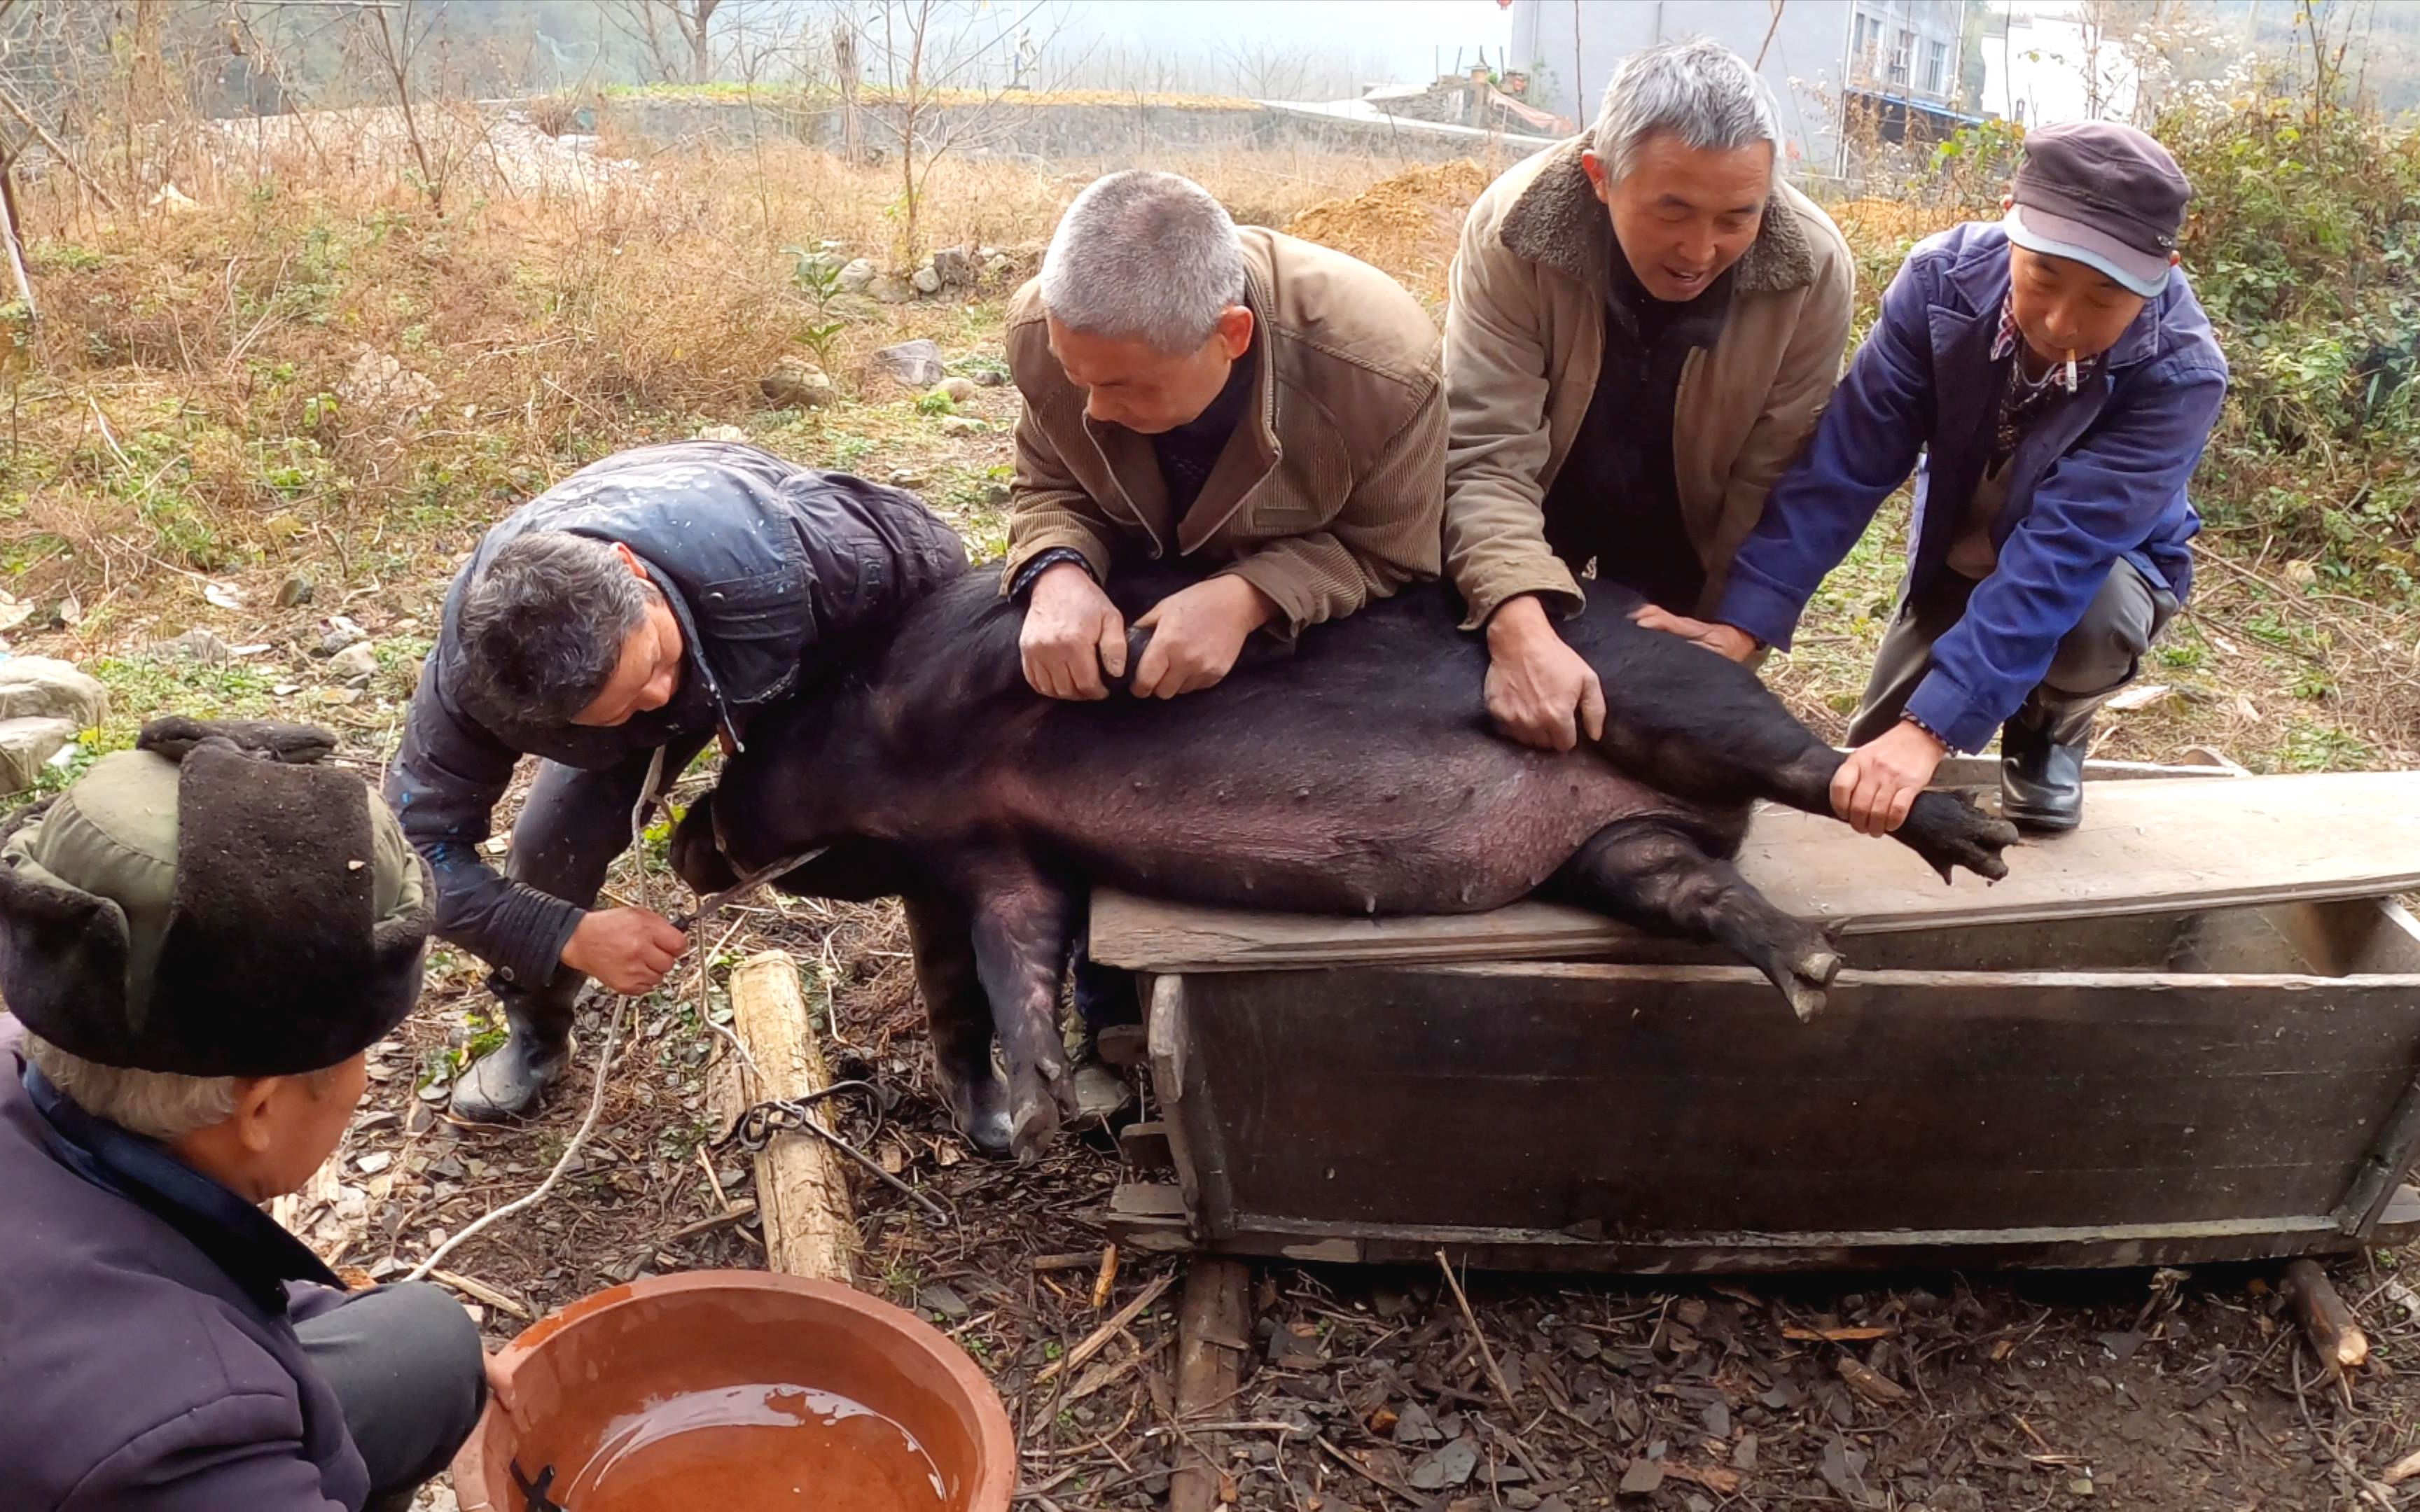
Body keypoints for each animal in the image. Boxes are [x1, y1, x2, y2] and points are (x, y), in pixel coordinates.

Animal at [672, 561, 2013, 1152]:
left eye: (751, 746)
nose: (682, 843)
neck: (905, 777)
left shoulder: (970, 705)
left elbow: (1079, 647)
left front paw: (1136, 650)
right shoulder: (996, 856)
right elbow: (1019, 954)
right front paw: (1045, 1099)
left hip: (1670, 697)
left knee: (1810, 764)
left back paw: (1978, 845)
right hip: (1615, 850)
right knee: (1701, 888)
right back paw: (1814, 973)